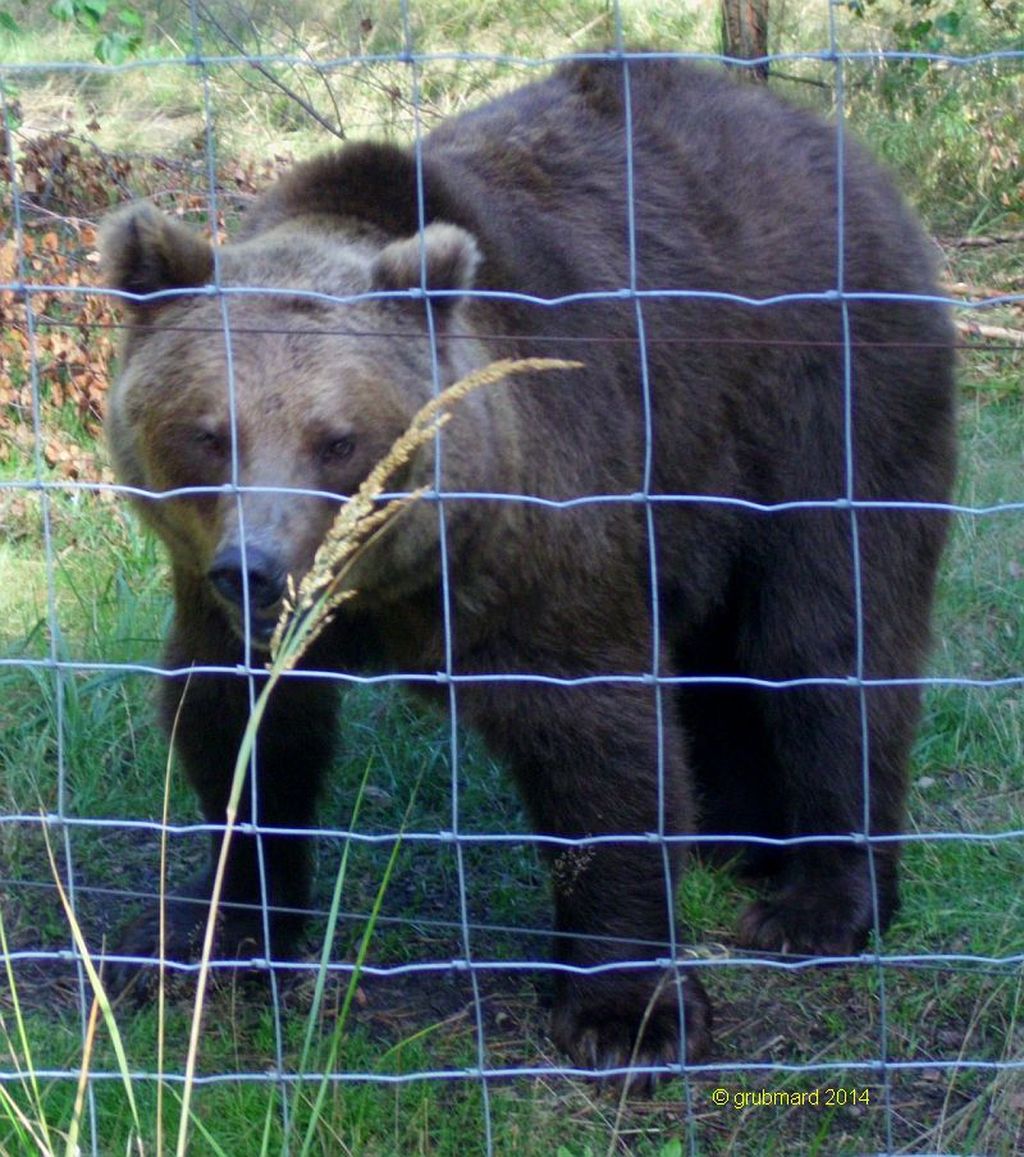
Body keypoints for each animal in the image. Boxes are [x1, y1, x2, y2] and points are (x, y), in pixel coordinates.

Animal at [100, 56, 953, 1082]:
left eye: (338, 440)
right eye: (207, 433)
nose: (258, 570)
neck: (395, 587)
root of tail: (833, 143)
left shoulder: (542, 535)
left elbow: (598, 742)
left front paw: (629, 1016)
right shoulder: (218, 600)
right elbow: (239, 732)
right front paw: (200, 939)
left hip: (826, 395)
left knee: (827, 636)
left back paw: (816, 902)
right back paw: (735, 836)